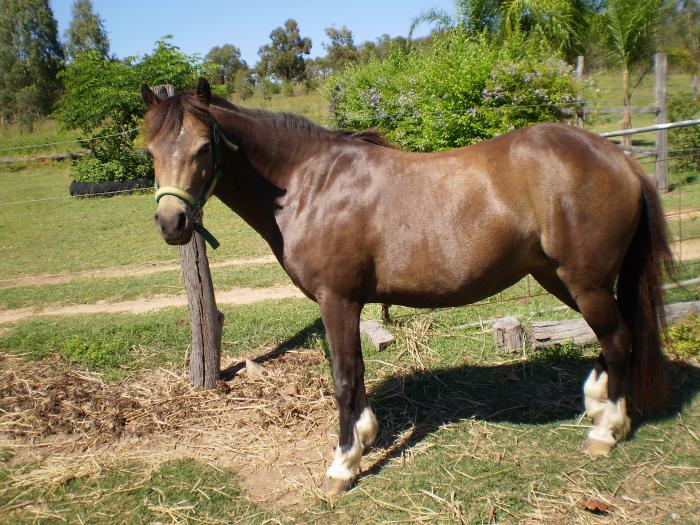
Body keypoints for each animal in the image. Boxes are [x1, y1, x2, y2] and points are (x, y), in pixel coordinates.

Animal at [141, 78, 672, 494]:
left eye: (203, 148)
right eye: (151, 151)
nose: (172, 223)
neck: (307, 184)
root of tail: (617, 158)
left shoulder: (337, 300)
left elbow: (343, 378)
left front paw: (343, 464)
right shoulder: (349, 304)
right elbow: (356, 373)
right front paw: (365, 435)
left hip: (585, 282)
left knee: (619, 340)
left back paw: (606, 430)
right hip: (562, 278)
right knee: (614, 336)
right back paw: (597, 402)